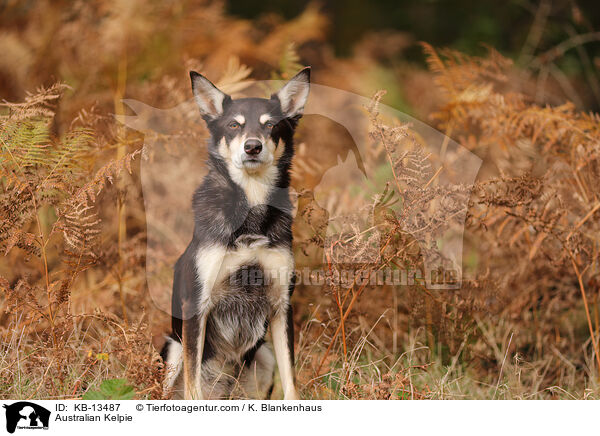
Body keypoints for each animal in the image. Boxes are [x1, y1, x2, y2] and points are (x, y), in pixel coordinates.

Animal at [159, 67, 310, 398]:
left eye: (271, 125)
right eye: (233, 125)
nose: (252, 146)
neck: (250, 211)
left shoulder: (281, 307)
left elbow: (292, 383)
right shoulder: (197, 305)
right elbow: (192, 387)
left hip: (263, 355)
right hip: (172, 350)